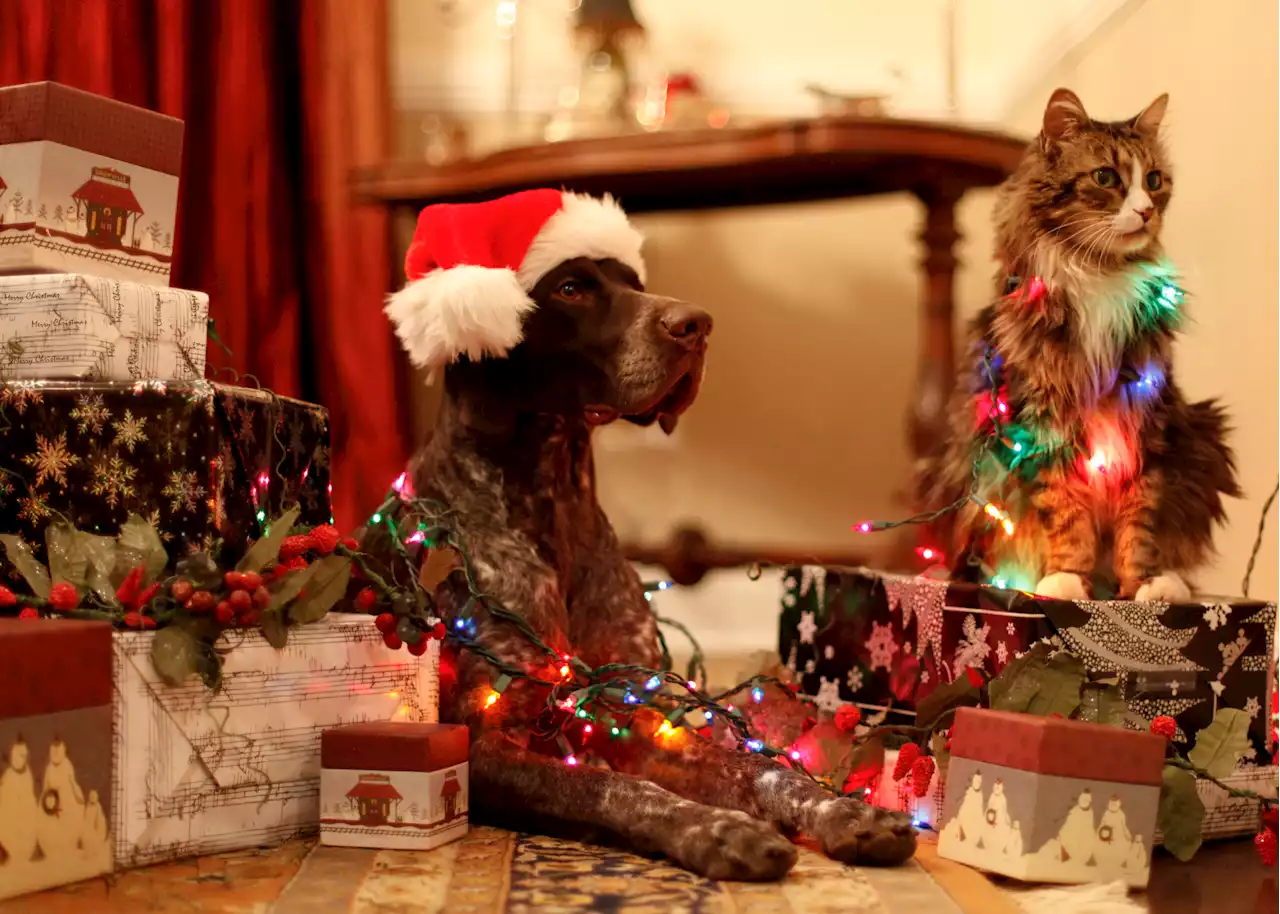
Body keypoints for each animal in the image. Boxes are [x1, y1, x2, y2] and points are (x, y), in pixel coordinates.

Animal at [384, 190, 916, 875]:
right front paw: (718, 830)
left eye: (634, 284)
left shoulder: (630, 715)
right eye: (572, 288)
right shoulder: (482, 738)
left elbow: (759, 770)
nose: (698, 324)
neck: (553, 504)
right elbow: (609, 786)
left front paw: (843, 810)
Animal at [921, 88, 1239, 601]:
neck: (1097, 273)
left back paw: (1168, 582)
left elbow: (1141, 522)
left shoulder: (1146, 419)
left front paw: (1145, 584)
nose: (1146, 211)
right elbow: (1066, 512)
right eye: (1106, 177)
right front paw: (1067, 580)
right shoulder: (1041, 420)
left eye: (1154, 181)